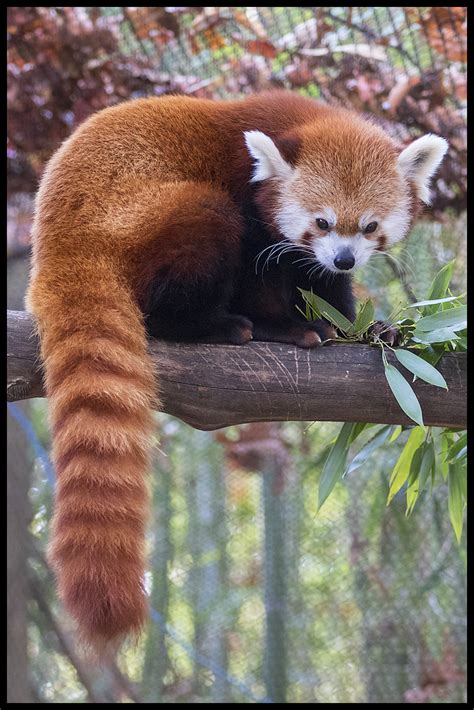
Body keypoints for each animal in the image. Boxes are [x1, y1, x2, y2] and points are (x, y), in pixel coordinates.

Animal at [25, 90, 448, 656]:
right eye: (321, 222)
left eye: (369, 227)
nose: (343, 258)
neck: (301, 119)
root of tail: (59, 242)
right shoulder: (249, 205)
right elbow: (259, 272)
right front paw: (288, 326)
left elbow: (321, 288)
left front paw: (370, 329)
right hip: (144, 216)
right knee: (198, 238)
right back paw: (219, 325)